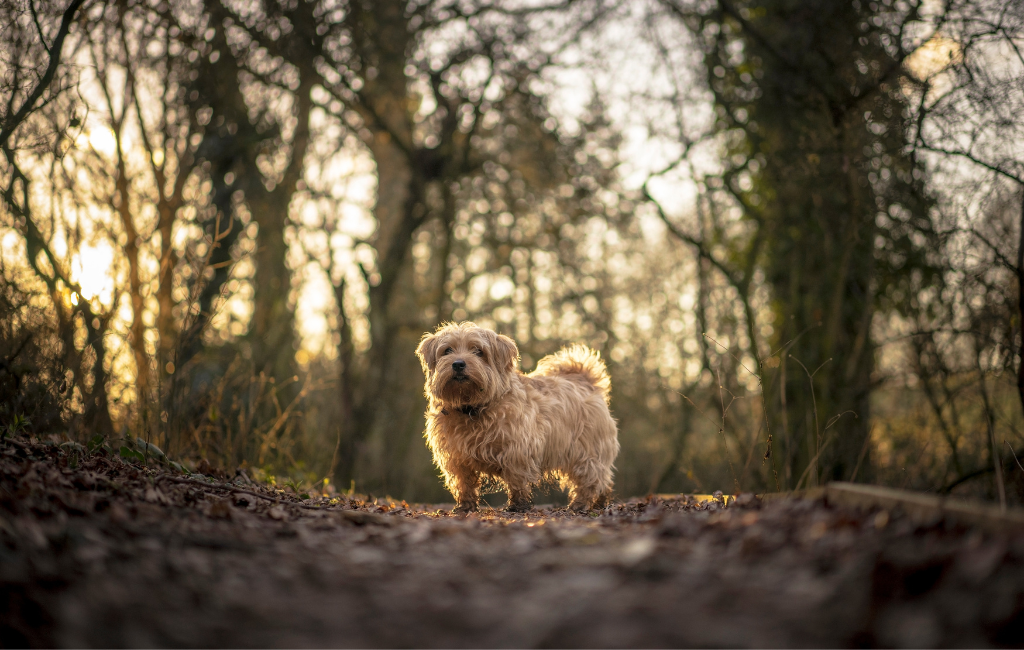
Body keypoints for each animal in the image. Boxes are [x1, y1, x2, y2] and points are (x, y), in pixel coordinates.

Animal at [413, 321, 614, 513]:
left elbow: (517, 480)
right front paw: (466, 506)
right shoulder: (457, 458)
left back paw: (580, 505)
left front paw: (518, 506)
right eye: (447, 350)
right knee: (604, 482)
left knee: (591, 479)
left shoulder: (517, 450)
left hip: (586, 452)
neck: (472, 407)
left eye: (478, 351)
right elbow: (464, 484)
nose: (458, 364)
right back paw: (599, 504)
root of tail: (585, 380)